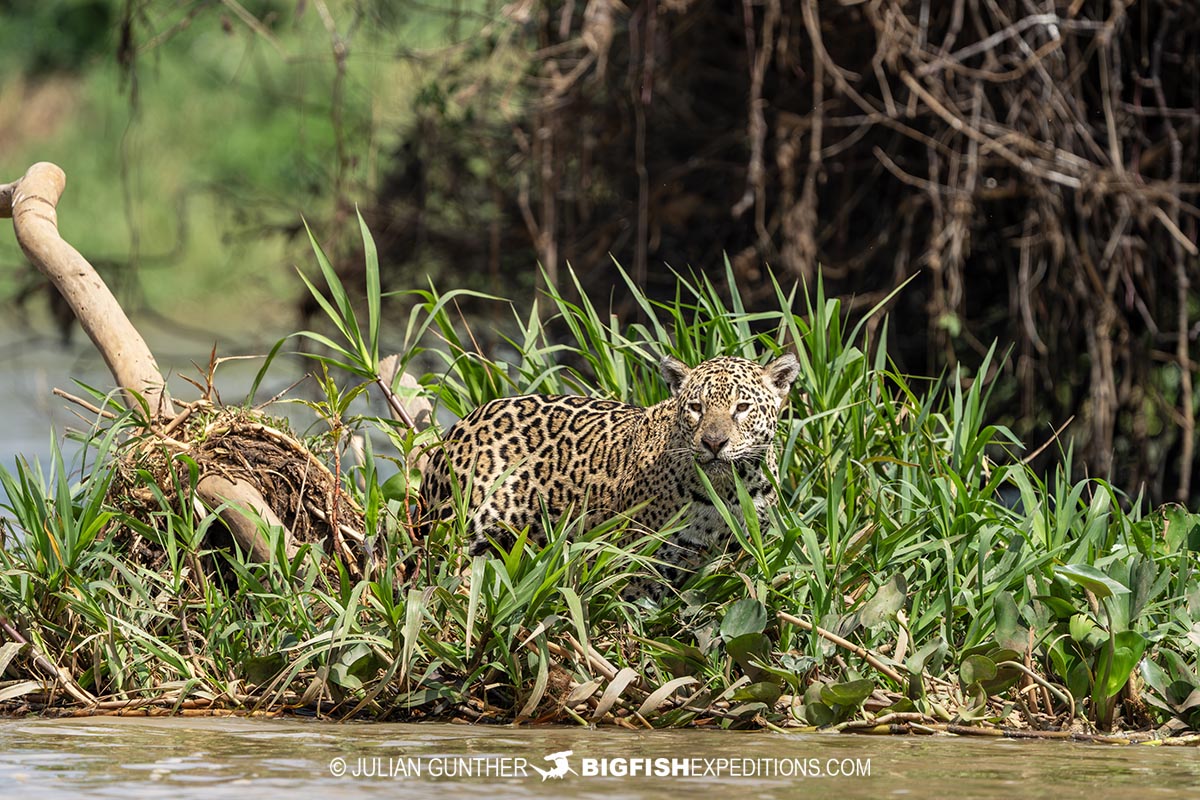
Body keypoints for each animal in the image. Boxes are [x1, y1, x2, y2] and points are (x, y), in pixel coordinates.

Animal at [419, 352, 800, 599]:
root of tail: (460, 424)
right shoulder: (640, 564)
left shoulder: (735, 558)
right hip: (454, 529)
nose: (714, 442)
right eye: (696, 408)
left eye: (742, 408)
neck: (727, 491)